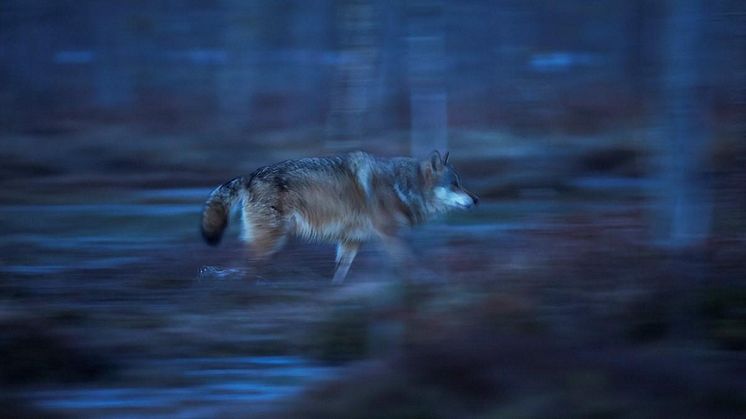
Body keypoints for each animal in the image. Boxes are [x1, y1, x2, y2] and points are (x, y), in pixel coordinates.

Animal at [199, 149, 476, 284]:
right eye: (455, 185)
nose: (476, 200)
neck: (403, 186)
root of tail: (248, 176)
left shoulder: (350, 242)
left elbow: (340, 273)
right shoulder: (390, 236)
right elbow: (410, 262)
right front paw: (426, 281)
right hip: (270, 241)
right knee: (244, 268)